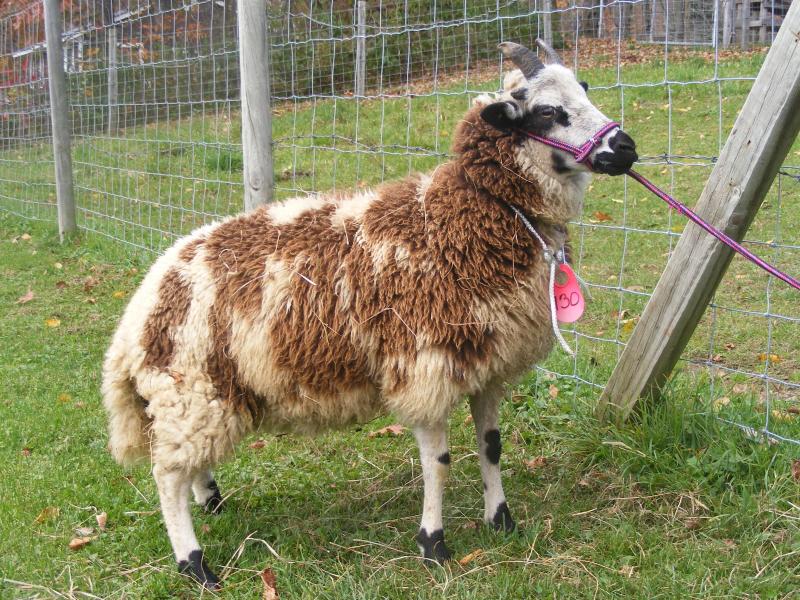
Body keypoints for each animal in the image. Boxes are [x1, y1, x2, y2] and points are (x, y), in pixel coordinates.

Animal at [102, 40, 638, 589]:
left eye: (585, 88)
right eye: (548, 112)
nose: (624, 148)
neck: (465, 219)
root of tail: (134, 317)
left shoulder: (487, 365)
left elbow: (491, 446)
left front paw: (501, 520)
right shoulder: (424, 367)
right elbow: (438, 462)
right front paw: (433, 545)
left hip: (202, 392)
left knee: (186, 461)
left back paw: (210, 499)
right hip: (189, 385)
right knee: (166, 475)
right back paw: (195, 563)